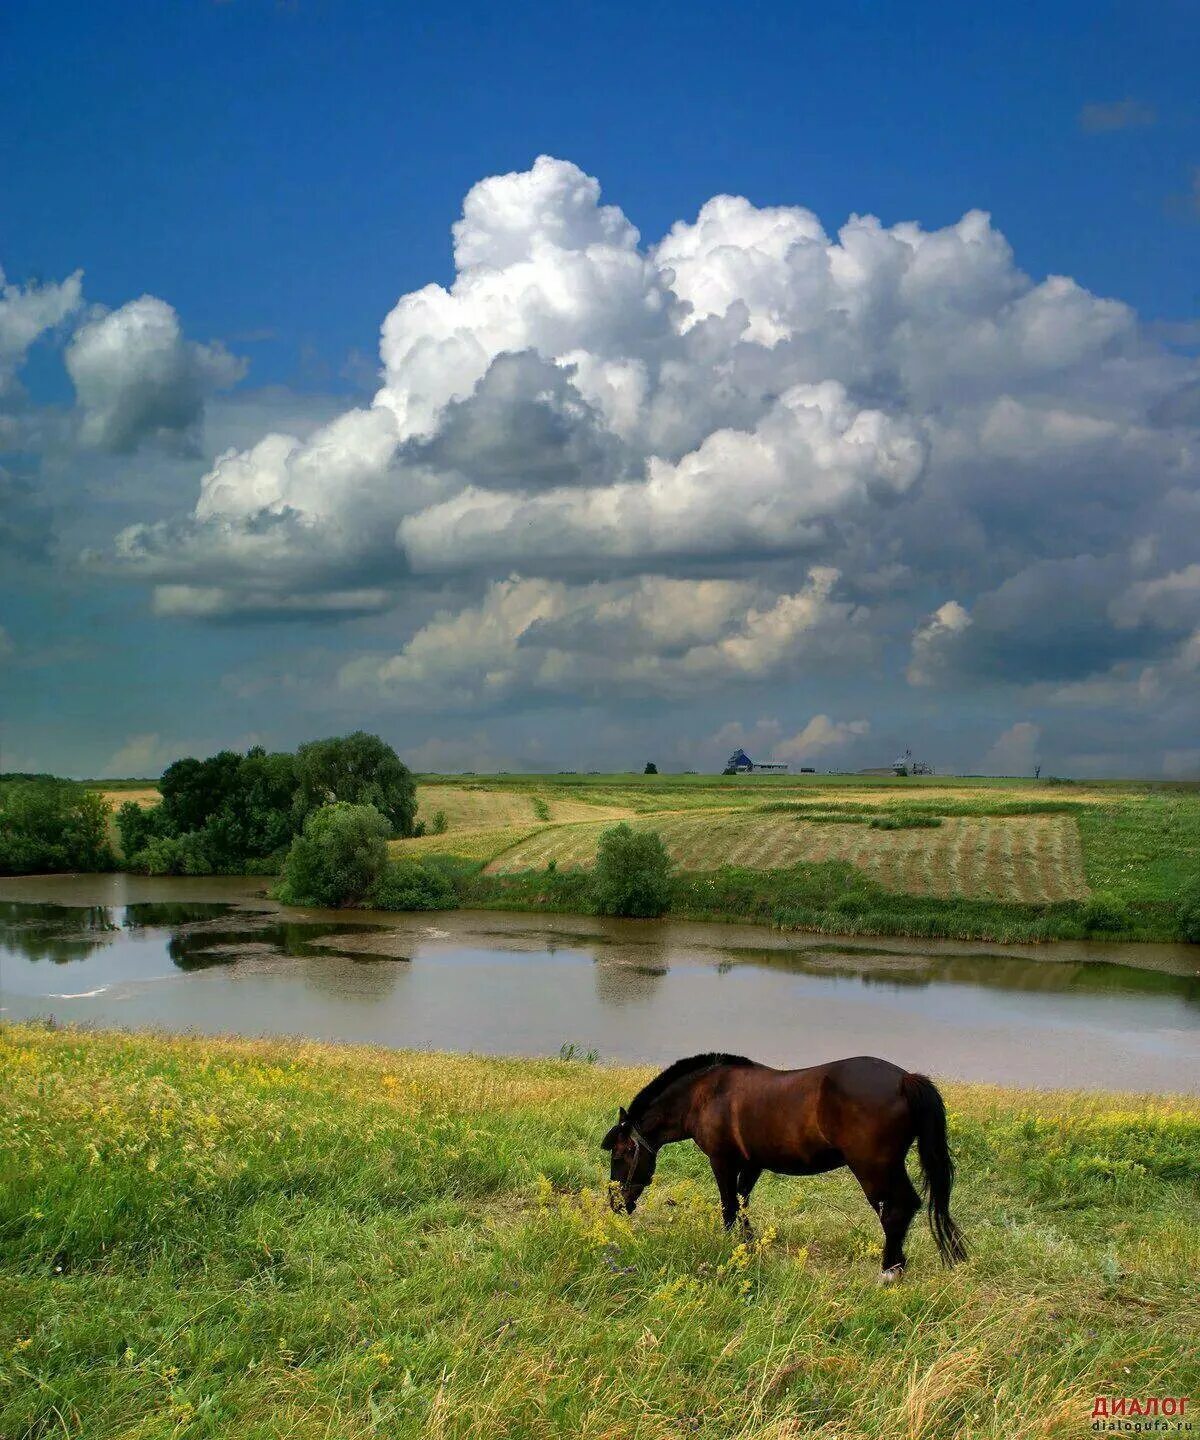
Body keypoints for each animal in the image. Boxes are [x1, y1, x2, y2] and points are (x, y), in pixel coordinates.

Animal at [599, 1054, 962, 1278]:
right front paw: (748, 1242)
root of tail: (905, 1080)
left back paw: (889, 1271)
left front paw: (730, 1245)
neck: (704, 1095)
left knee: (897, 1210)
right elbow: (743, 1202)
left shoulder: (722, 1161)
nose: (616, 1204)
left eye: (619, 1156)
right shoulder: (752, 1163)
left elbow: (728, 1205)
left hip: (874, 1168)